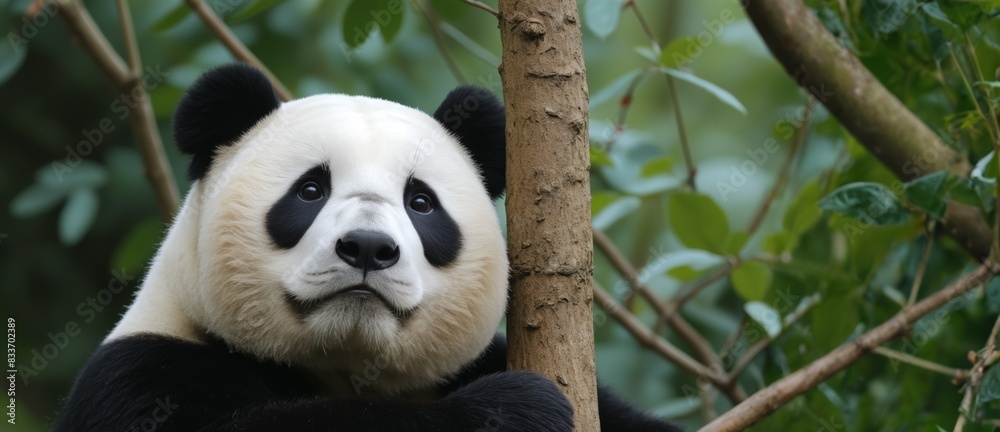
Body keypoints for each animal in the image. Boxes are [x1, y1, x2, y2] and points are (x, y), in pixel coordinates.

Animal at [55, 63, 682, 432]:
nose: (367, 248)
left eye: (421, 202)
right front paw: (516, 408)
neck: (346, 364)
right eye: (310, 190)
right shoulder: (143, 374)